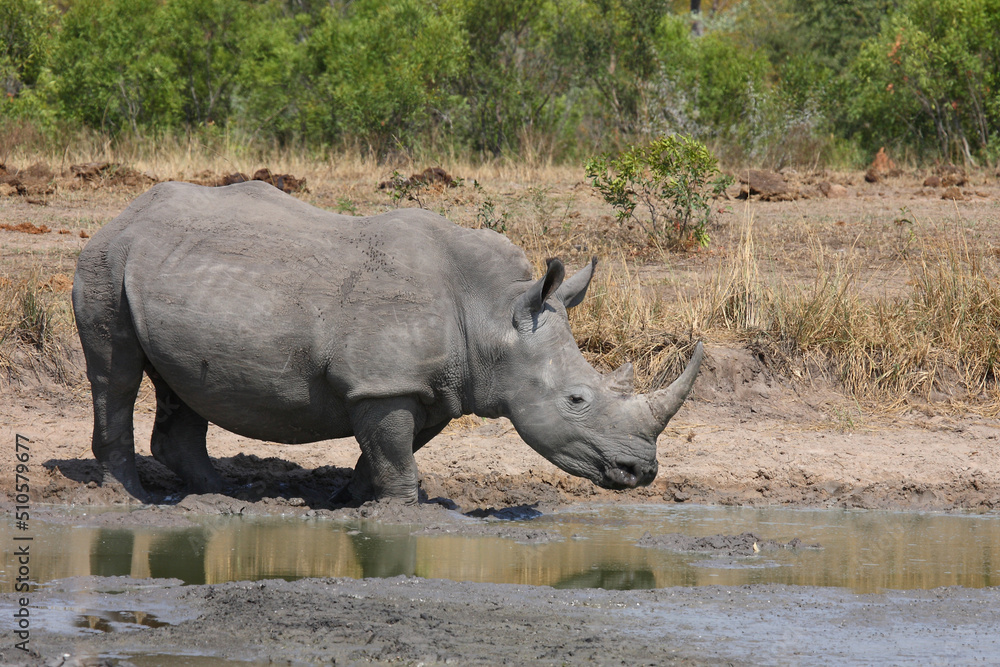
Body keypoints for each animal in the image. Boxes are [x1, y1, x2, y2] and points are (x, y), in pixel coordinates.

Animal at [73, 181, 703, 503]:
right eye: (576, 400)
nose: (642, 471)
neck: (494, 315)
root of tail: (120, 215)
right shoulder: (383, 383)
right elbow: (397, 458)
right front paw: (401, 514)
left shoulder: (432, 387)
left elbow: (388, 452)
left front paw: (352, 503)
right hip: (105, 261)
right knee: (115, 372)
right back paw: (131, 500)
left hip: (162, 270)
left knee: (180, 383)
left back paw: (217, 498)